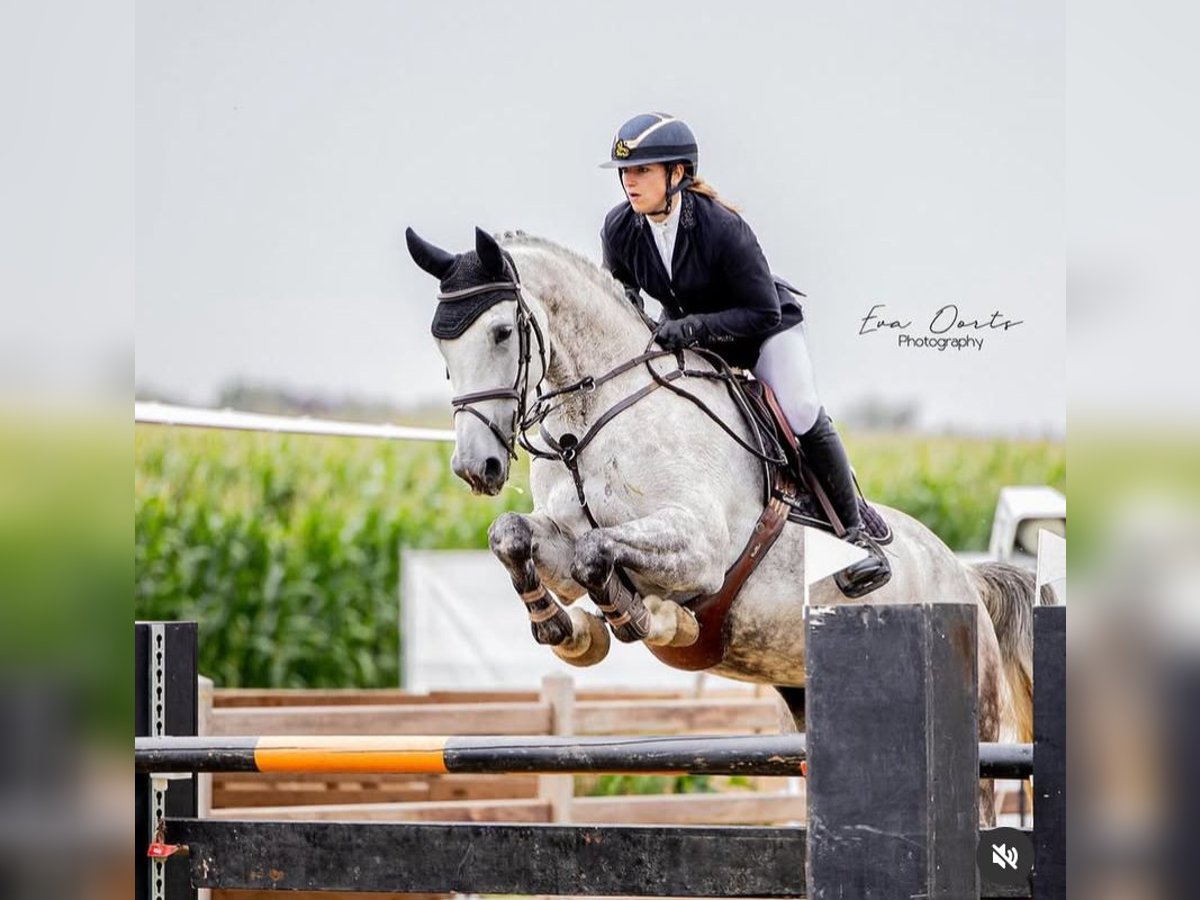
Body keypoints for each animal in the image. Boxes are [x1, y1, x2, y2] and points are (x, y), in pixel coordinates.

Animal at [404, 226, 1039, 824]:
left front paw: (651, 621)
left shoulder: (698, 546)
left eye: (501, 333)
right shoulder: (556, 538)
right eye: (441, 347)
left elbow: (597, 552)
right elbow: (514, 536)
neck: (593, 419)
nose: (476, 467)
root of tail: (966, 578)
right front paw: (568, 631)